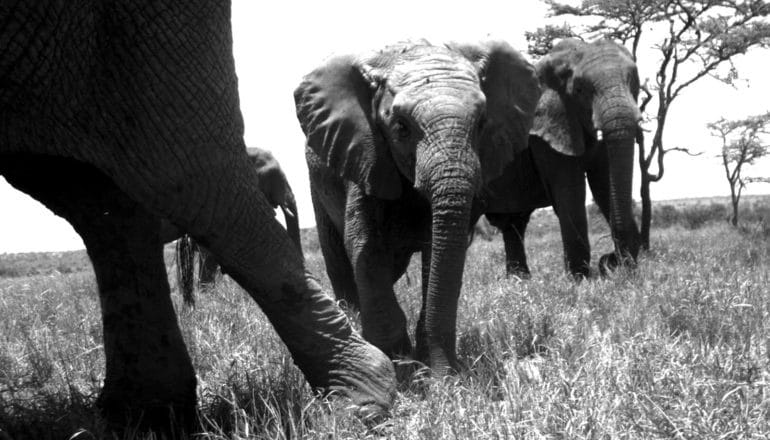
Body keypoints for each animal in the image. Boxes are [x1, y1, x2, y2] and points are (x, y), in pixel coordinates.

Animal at [294, 40, 540, 372]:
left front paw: (430, 368)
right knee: (339, 257)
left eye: (482, 124)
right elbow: (365, 247)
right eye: (401, 127)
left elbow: (437, 248)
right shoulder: (366, 153)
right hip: (318, 181)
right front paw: (398, 365)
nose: (446, 378)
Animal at [484, 37, 640, 278]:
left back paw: (519, 280)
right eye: (580, 89)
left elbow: (605, 183)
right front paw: (580, 279)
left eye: (634, 80)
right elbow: (570, 191)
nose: (609, 259)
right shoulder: (544, 131)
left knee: (513, 223)